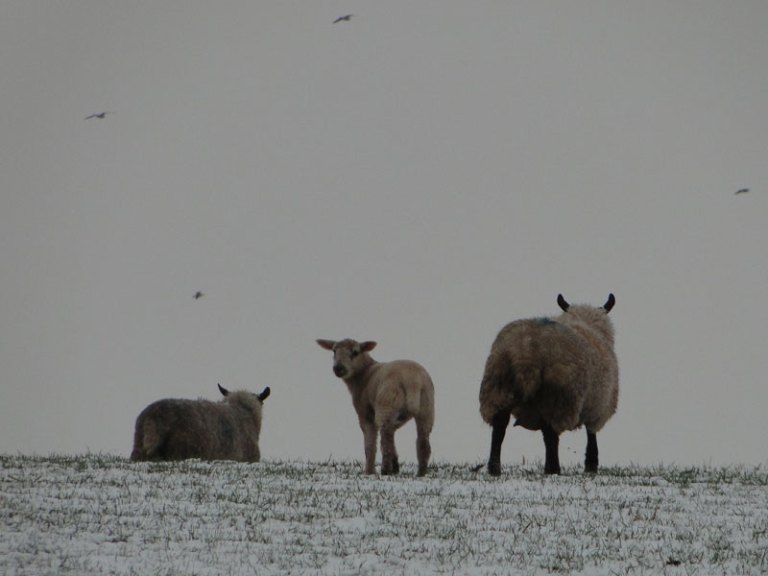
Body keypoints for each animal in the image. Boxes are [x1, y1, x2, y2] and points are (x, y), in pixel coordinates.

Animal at [316, 339, 435, 476]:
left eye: (355, 352)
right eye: (334, 351)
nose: (338, 368)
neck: (364, 374)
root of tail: (413, 381)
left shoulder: (365, 413)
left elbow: (370, 444)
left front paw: (369, 471)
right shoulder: (399, 416)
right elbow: (393, 432)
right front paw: (395, 465)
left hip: (387, 402)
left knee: (386, 436)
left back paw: (385, 469)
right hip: (426, 405)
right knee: (423, 439)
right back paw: (421, 472)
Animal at [478, 294, 618, 475]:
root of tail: (527, 351)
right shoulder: (598, 408)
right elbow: (591, 436)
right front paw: (591, 465)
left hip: (498, 390)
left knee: (499, 429)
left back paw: (494, 468)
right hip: (558, 398)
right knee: (550, 435)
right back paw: (553, 469)